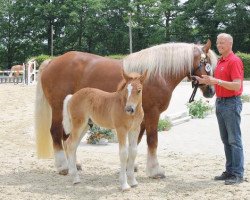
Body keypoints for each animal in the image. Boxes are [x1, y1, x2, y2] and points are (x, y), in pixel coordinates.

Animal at [35, 40, 217, 178]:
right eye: (206, 63)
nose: (211, 91)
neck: (156, 74)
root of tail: (52, 61)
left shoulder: (140, 117)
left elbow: (136, 141)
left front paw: (131, 166)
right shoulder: (153, 114)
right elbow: (152, 140)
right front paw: (155, 170)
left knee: (68, 138)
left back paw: (75, 164)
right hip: (58, 109)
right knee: (56, 133)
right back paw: (63, 166)